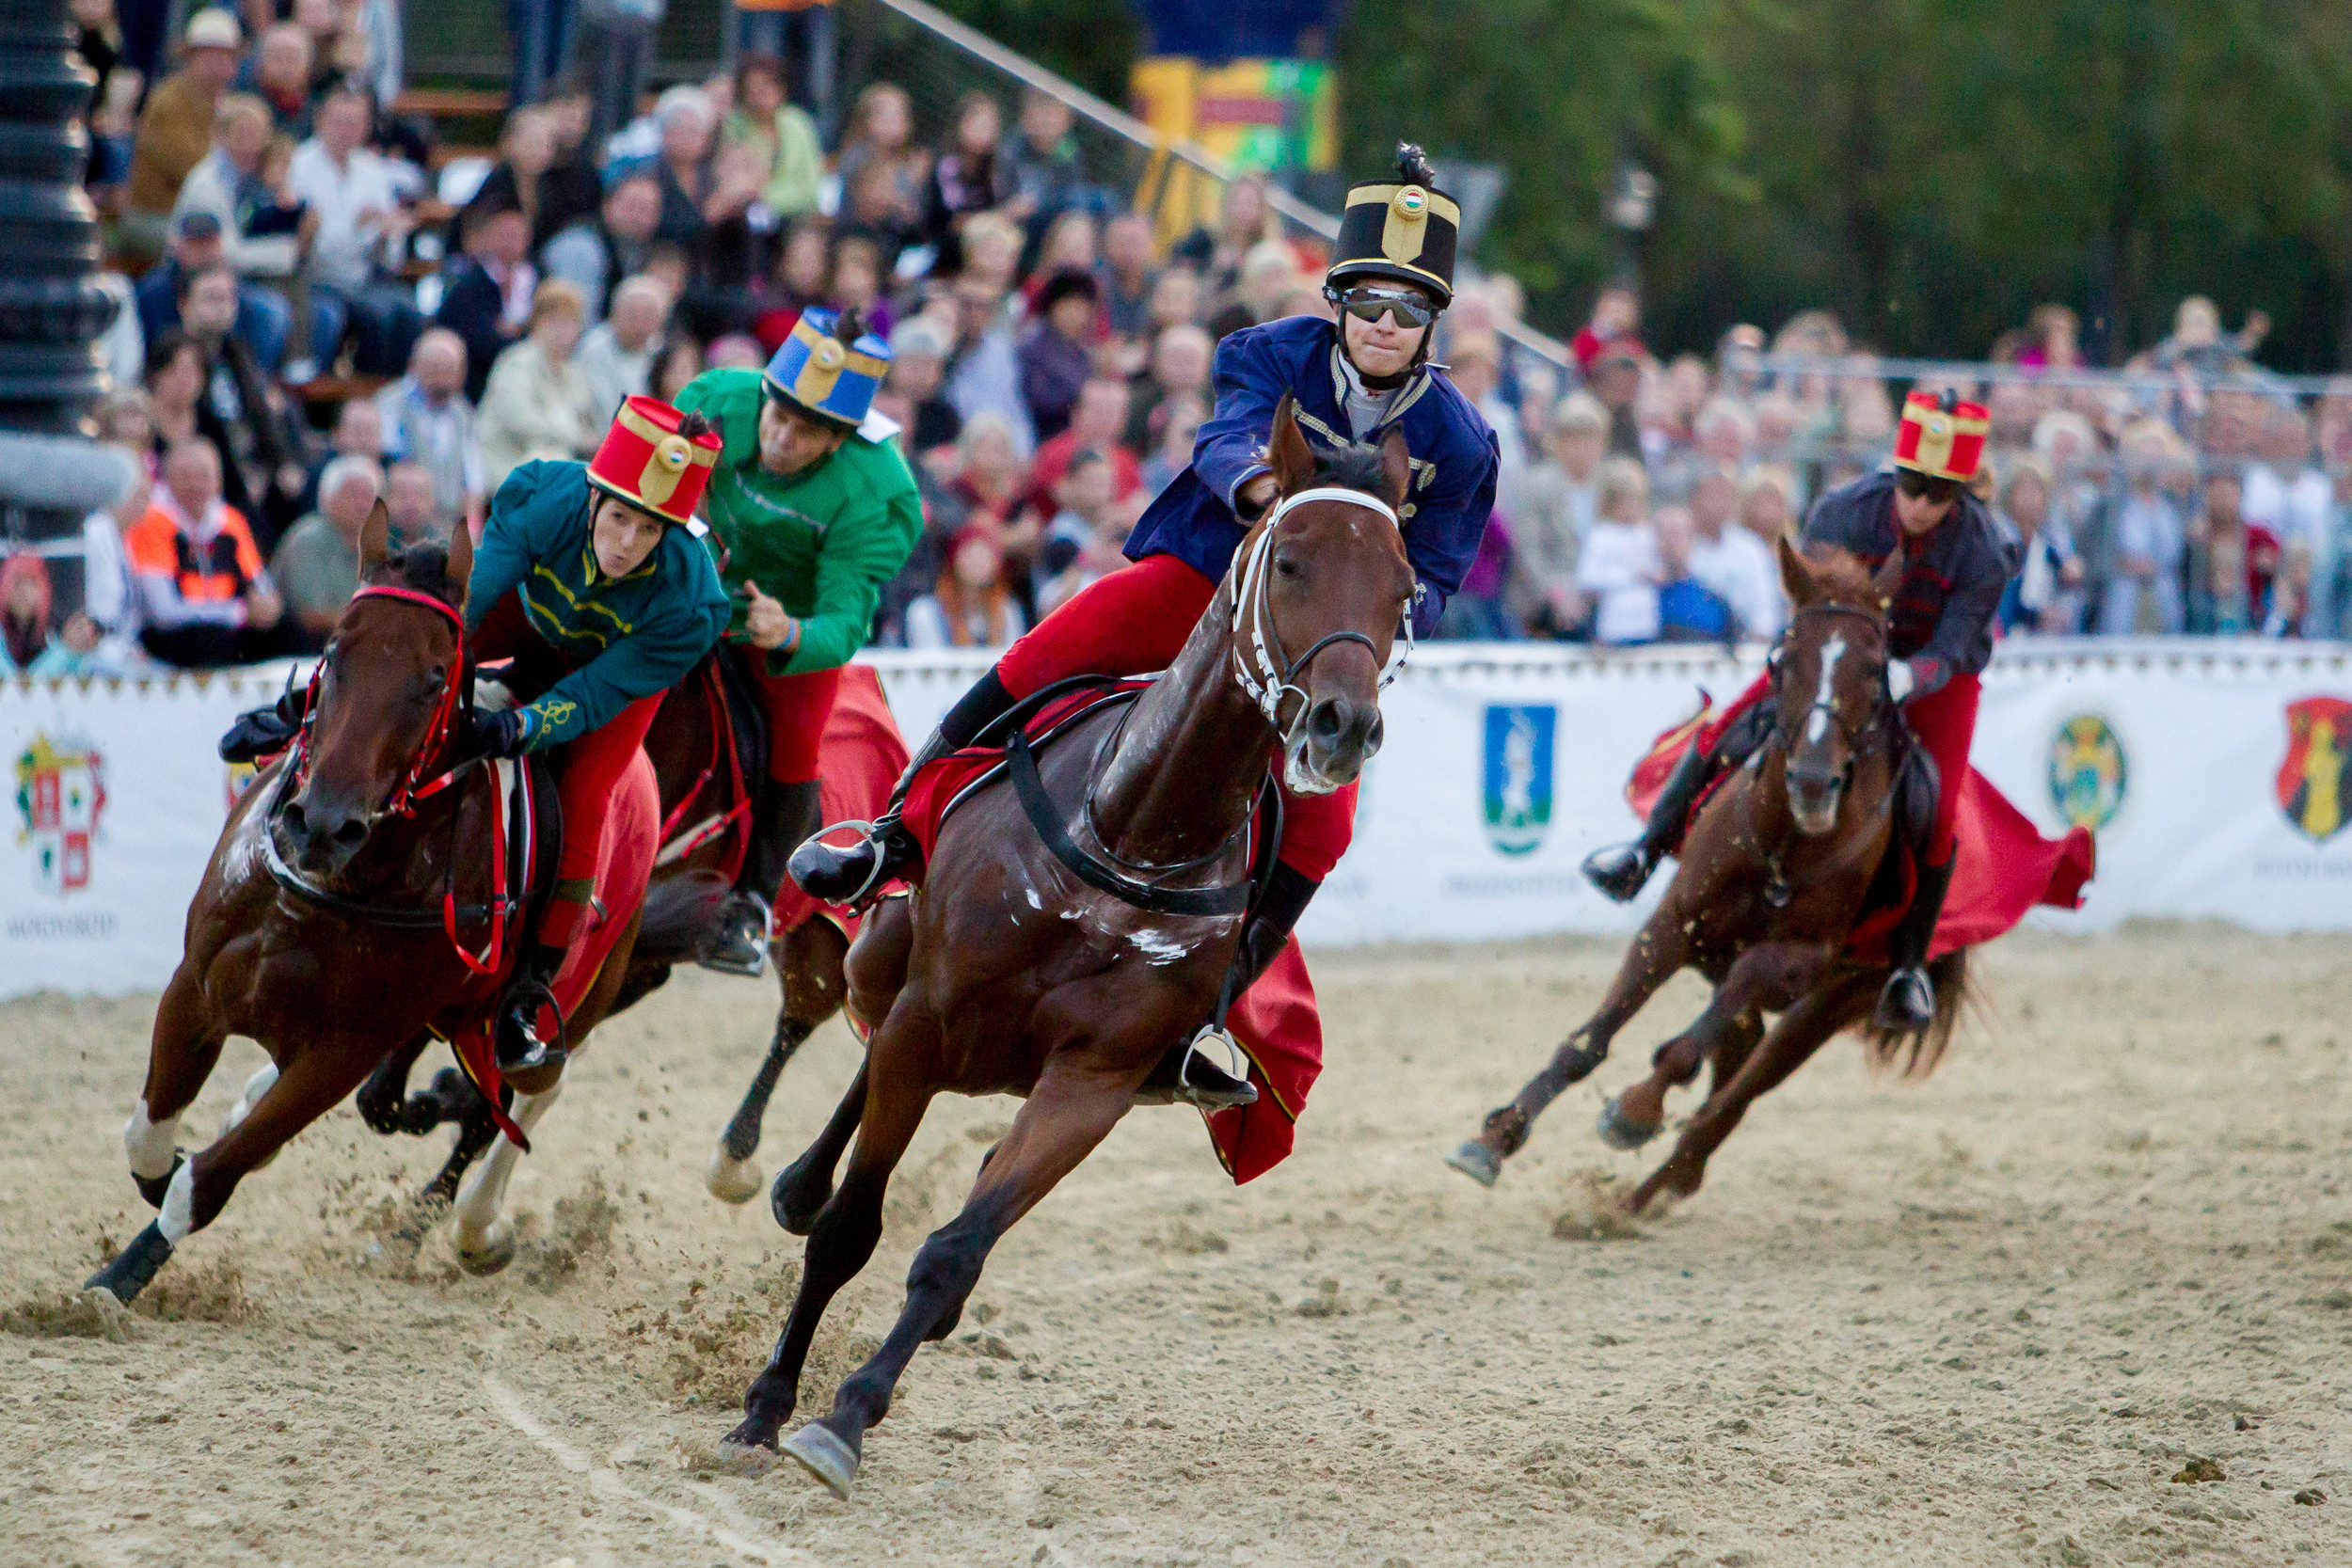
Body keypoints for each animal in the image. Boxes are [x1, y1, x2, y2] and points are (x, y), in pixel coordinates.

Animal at [87, 510, 649, 1307]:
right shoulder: (195, 987)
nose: (322, 824)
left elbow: (209, 1178)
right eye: (332, 650)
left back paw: (479, 1228)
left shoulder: (339, 1053)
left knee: (532, 1090)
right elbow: (148, 1141)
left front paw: (122, 1274)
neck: (335, 893)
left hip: (572, 993)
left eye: (434, 679)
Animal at [715, 399, 1411, 1495]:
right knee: (852, 1034)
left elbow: (955, 1250)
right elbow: (848, 1229)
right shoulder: (930, 1018)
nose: (1344, 725)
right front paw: (768, 1403)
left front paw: (848, 1417)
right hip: (886, 964)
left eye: (1404, 587)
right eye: (1291, 559)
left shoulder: (1094, 1080)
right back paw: (791, 1174)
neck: (1133, 826)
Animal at [1449, 545, 1966, 1222]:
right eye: (1782, 660)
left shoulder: (1792, 960)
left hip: (1834, 999)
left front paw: (1636, 1109)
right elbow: (1590, 1040)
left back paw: (1643, 1194)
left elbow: (1686, 1050)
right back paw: (1650, 1192)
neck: (1784, 842)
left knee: (1732, 1098)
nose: (1812, 780)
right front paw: (1496, 1137)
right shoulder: (1673, 924)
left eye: (1876, 669)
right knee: (1732, 1058)